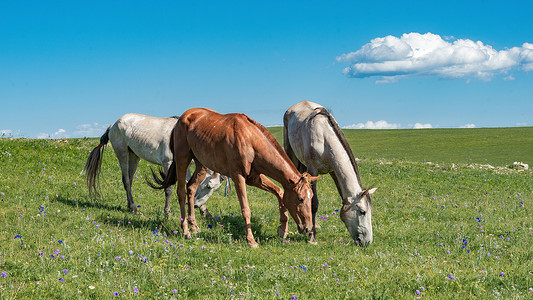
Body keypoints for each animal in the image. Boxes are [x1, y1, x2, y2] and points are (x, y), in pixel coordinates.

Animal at [82, 113, 224, 216]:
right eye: (208, 186)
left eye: (215, 189)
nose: (196, 206)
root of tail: (114, 125)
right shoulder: (168, 164)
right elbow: (168, 189)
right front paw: (167, 211)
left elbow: (189, 185)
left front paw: (205, 211)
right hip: (122, 154)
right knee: (126, 181)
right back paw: (133, 207)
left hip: (134, 156)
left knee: (130, 181)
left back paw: (130, 206)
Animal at [148, 108, 318, 248]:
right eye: (300, 199)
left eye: (311, 198)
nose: (308, 228)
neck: (250, 140)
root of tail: (182, 118)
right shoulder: (238, 177)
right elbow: (246, 209)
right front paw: (251, 241)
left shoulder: (255, 178)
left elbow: (280, 192)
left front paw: (282, 228)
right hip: (182, 160)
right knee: (181, 193)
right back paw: (185, 231)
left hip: (201, 165)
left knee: (191, 188)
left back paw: (194, 227)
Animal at [282, 101, 374, 246]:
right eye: (362, 212)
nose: (367, 242)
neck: (324, 139)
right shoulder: (313, 170)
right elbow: (313, 203)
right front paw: (312, 237)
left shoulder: (333, 171)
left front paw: (312, 227)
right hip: (291, 153)